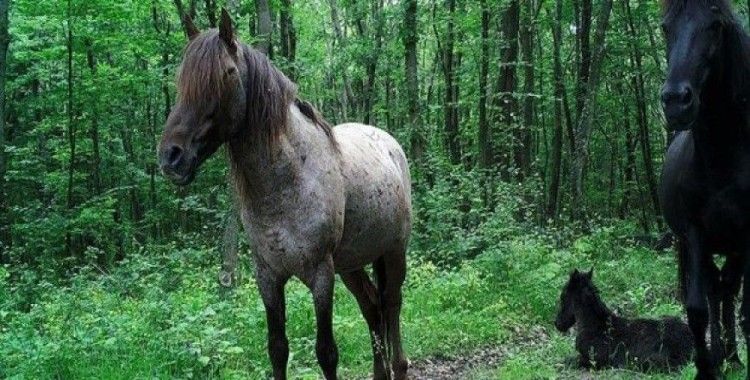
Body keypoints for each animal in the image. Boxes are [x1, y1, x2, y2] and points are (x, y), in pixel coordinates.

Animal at [159, 9, 414, 380]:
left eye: (228, 73)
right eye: (182, 77)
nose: (171, 157)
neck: (286, 184)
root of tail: (390, 144)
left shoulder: (321, 275)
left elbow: (326, 353)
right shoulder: (268, 276)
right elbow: (277, 349)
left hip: (393, 252)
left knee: (392, 304)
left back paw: (399, 365)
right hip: (351, 265)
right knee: (372, 307)